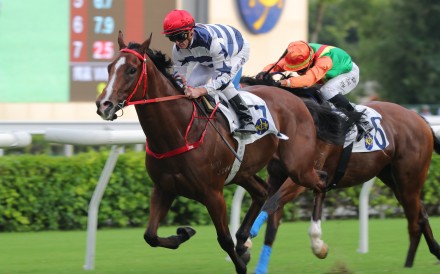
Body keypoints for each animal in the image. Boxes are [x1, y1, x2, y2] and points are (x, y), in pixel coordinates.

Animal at [94, 31, 360, 272]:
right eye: (109, 67)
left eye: (131, 70)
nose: (103, 105)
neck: (179, 131)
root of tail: (295, 98)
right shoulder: (164, 188)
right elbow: (150, 236)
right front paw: (185, 232)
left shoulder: (213, 193)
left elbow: (223, 239)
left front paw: (240, 263)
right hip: (244, 170)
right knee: (263, 191)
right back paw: (245, 240)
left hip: (297, 166)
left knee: (320, 180)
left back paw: (317, 243)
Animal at [241, 76, 440, 272]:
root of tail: (418, 117)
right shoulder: (278, 178)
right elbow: (272, 221)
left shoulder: (302, 176)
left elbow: (272, 204)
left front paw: (248, 239)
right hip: (394, 179)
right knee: (421, 213)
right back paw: (432, 252)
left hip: (409, 179)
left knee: (415, 220)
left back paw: (409, 263)